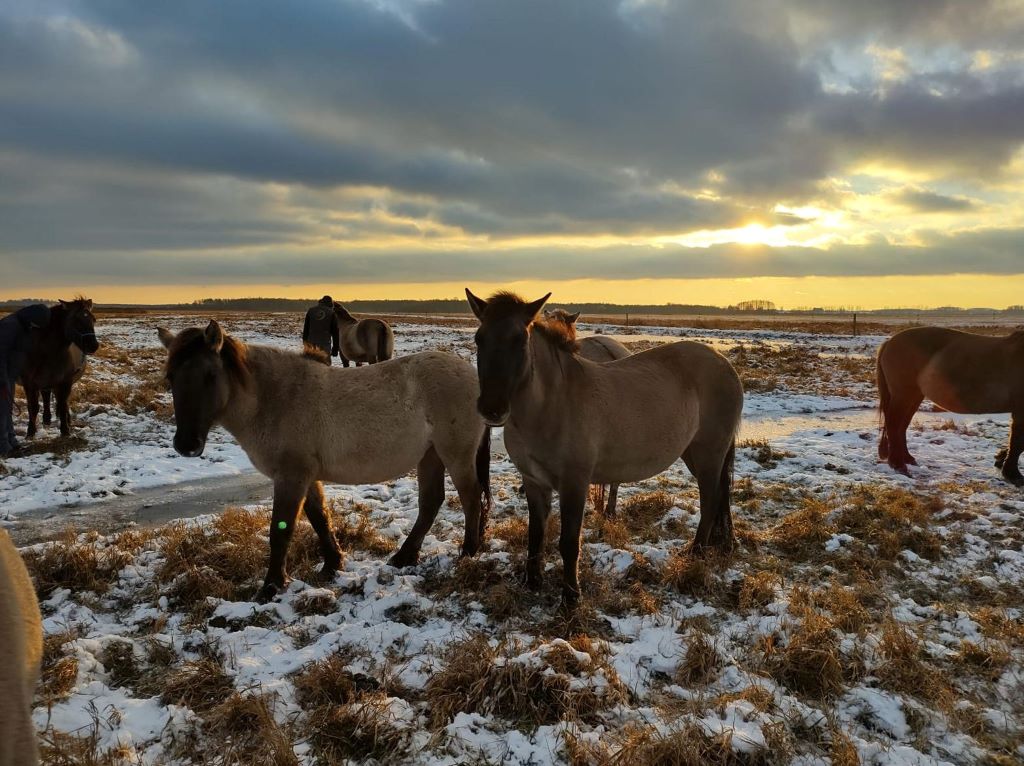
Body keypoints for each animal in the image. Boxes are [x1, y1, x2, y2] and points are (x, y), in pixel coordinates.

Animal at [20, 297, 99, 438]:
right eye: (76, 320)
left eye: (93, 319)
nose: (93, 345)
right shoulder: (29, 383)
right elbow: (33, 407)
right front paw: (30, 432)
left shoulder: (65, 382)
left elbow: (62, 404)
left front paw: (65, 430)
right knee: (46, 395)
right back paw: (46, 419)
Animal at [158, 321, 491, 602]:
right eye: (171, 377)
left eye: (210, 376)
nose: (186, 445)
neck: (276, 399)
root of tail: (475, 378)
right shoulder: (307, 476)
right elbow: (319, 518)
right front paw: (333, 564)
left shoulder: (291, 476)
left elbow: (281, 530)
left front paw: (271, 587)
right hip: (430, 456)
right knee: (431, 503)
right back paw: (403, 557)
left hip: (455, 455)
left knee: (470, 498)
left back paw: (467, 552)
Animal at [877, 326, 1024, 485]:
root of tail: (889, 342)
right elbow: (1017, 443)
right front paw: (1012, 473)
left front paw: (1001, 460)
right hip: (903, 395)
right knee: (894, 425)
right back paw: (898, 464)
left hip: (914, 396)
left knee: (901, 427)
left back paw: (907, 458)